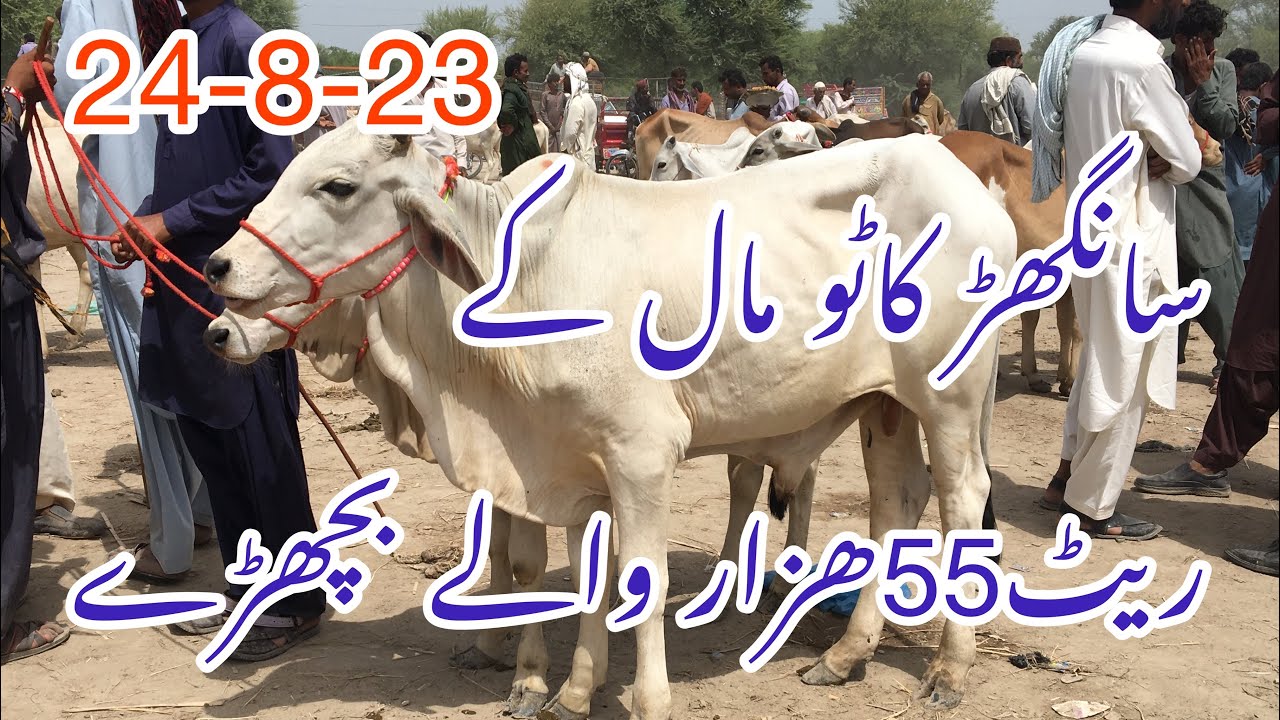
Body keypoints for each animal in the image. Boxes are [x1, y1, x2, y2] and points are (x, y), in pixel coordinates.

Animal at [203, 125, 1016, 719]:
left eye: (338, 186)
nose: (216, 270)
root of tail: (974, 187)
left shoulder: (640, 455)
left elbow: (640, 580)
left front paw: (639, 698)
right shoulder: (569, 464)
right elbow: (580, 577)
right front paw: (569, 689)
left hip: (949, 395)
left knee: (962, 500)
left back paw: (949, 671)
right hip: (886, 405)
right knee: (895, 502)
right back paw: (847, 654)